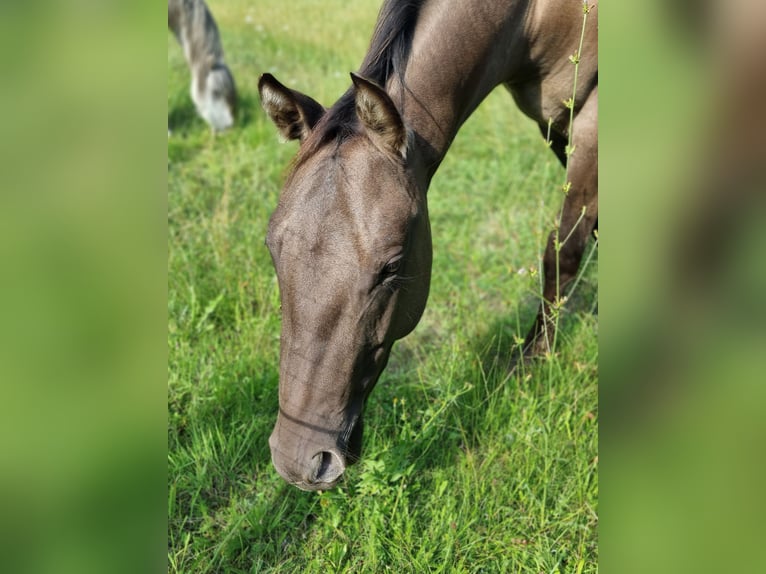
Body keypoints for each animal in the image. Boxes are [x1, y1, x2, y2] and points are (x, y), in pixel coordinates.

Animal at [258, 0, 598, 490]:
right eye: (273, 249)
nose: (299, 461)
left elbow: (562, 252)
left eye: (392, 267)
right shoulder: (556, 121)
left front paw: (532, 361)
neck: (538, 15)